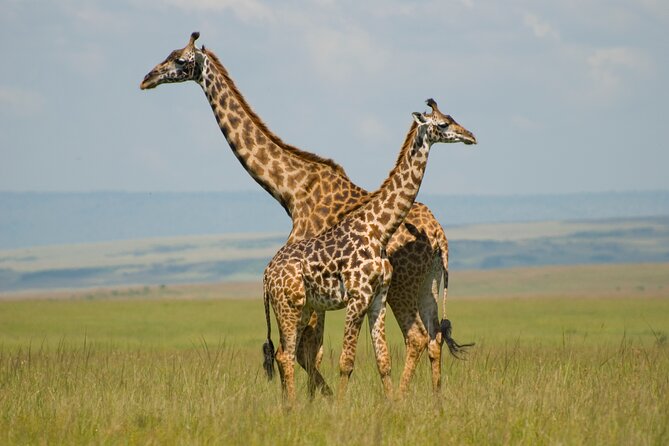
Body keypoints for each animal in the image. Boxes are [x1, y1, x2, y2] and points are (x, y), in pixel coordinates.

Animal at [262, 104, 476, 403]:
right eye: (443, 124)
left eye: (452, 118)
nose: (470, 136)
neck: (379, 229)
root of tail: (266, 274)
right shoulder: (357, 297)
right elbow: (346, 362)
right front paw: (340, 408)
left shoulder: (378, 297)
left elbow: (383, 360)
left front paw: (392, 405)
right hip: (288, 307)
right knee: (286, 355)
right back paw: (292, 405)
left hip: (302, 307)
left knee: (285, 353)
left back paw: (288, 405)